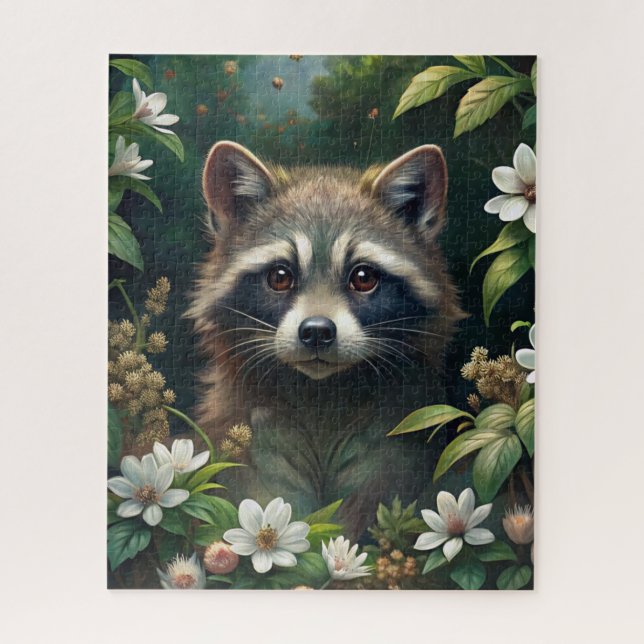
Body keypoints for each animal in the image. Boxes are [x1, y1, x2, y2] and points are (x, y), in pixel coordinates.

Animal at [188, 141, 464, 537]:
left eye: (363, 278)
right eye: (280, 277)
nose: (317, 331)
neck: (321, 394)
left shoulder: (397, 434)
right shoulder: (249, 432)